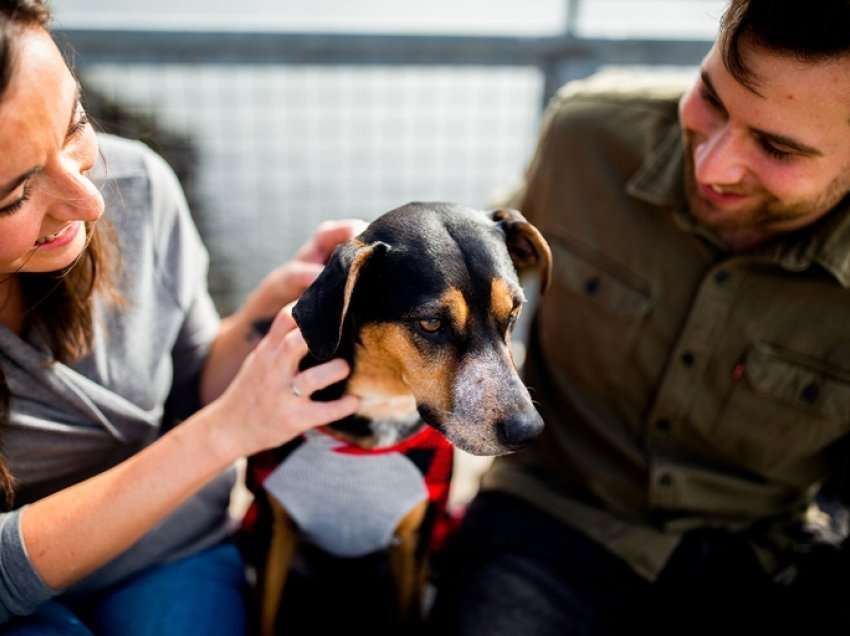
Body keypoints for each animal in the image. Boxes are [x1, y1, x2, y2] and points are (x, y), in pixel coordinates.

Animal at [242, 201, 552, 632]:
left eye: (514, 311)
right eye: (431, 323)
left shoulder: (416, 543)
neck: (384, 407)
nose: (528, 429)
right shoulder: (272, 532)